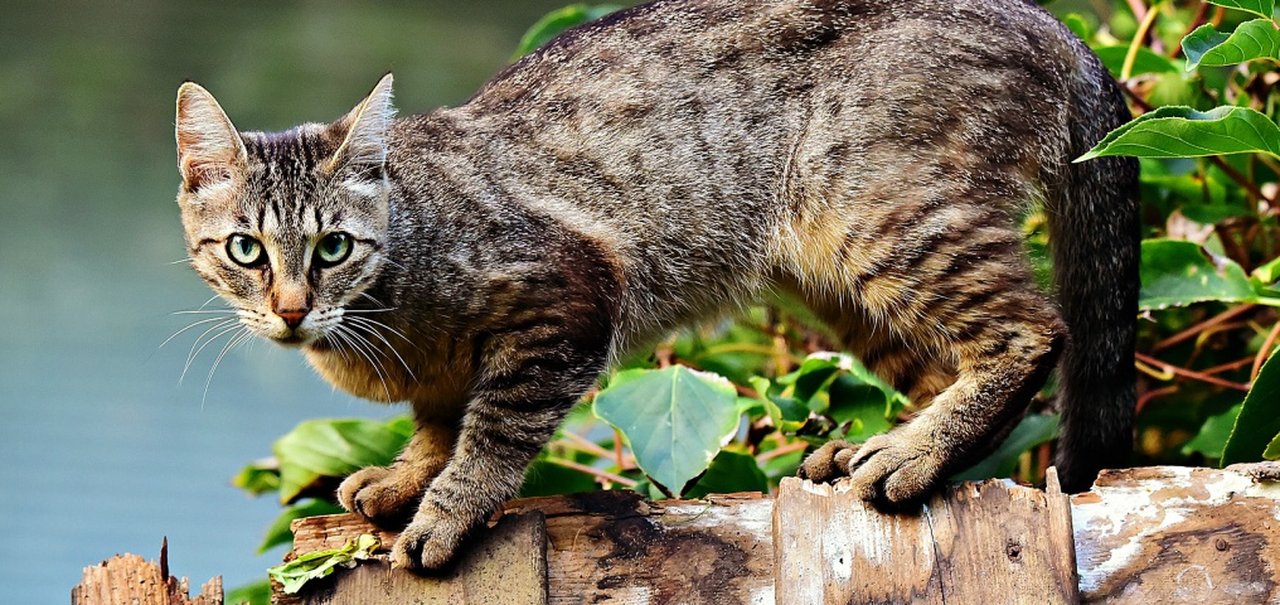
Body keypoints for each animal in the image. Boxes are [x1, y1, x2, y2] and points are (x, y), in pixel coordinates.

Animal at [172, 0, 1141, 567]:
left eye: (333, 247)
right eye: (246, 251)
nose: (290, 308)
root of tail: (1051, 24)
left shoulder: (567, 302)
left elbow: (491, 431)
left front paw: (445, 508)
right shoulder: (446, 374)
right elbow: (438, 421)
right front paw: (407, 474)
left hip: (881, 214)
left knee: (1033, 332)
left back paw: (913, 454)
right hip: (834, 278)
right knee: (946, 365)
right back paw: (877, 447)